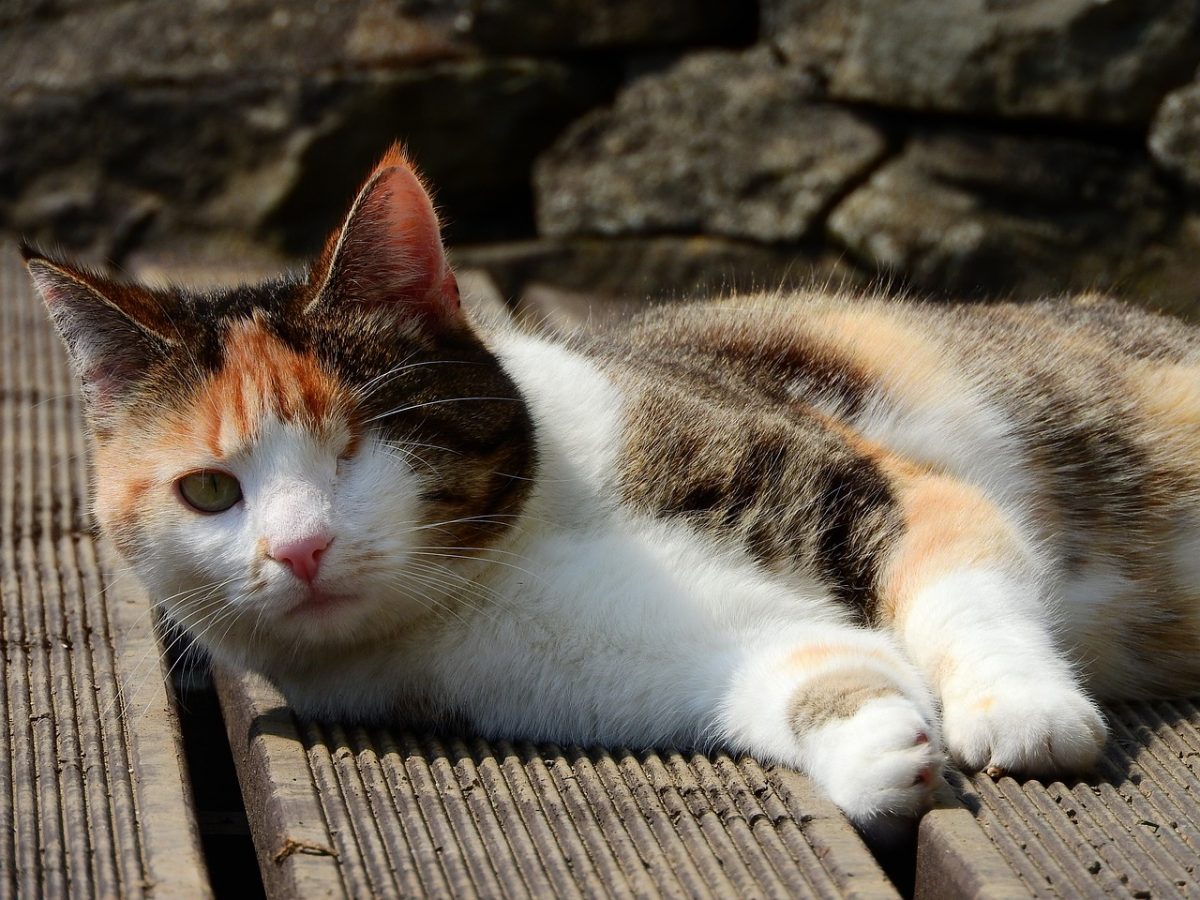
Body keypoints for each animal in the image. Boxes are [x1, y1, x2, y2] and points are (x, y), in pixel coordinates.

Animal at [23, 144, 1200, 844]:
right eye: (209, 490)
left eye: (357, 447)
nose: (298, 550)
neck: (504, 569)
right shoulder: (621, 667)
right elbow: (794, 669)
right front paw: (873, 749)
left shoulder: (867, 481)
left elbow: (961, 585)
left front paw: (1021, 711)